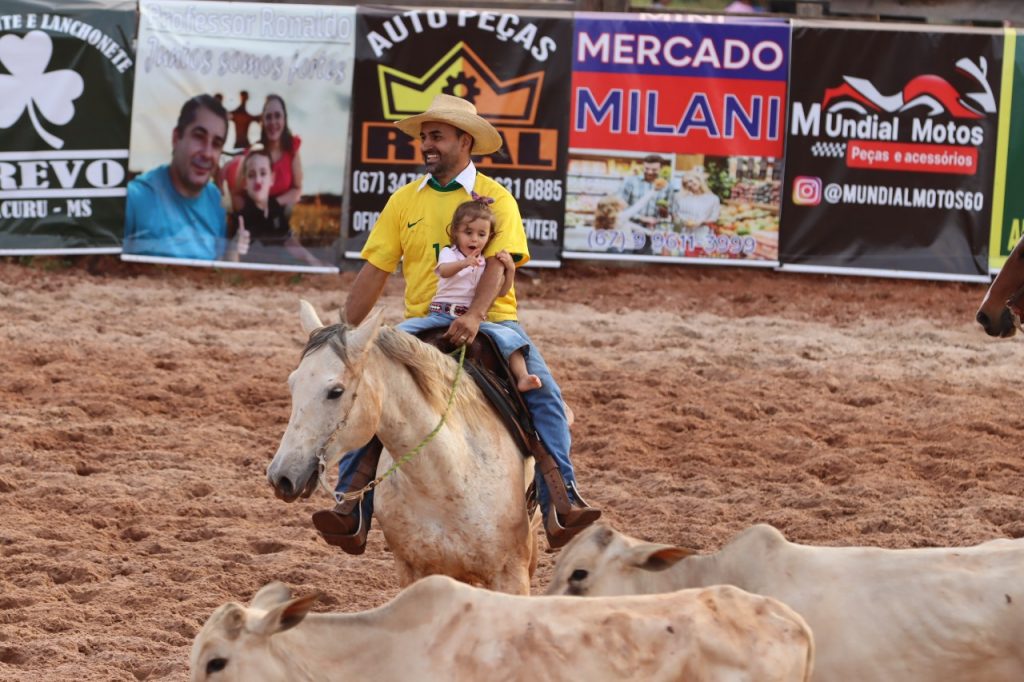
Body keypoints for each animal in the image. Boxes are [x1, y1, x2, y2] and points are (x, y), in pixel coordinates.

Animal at [266, 301, 536, 593]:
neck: (448, 480)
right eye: (292, 383)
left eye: (336, 391)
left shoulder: (511, 574)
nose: (280, 476)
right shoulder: (412, 571)